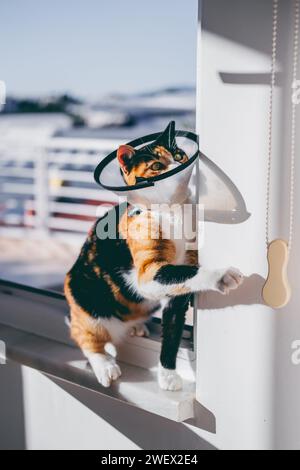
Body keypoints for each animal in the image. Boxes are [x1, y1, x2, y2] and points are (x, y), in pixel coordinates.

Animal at [65, 121, 244, 390]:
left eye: (178, 155)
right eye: (157, 166)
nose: (177, 167)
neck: (173, 211)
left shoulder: (176, 295)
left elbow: (171, 333)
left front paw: (168, 375)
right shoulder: (149, 273)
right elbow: (187, 272)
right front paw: (222, 275)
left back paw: (136, 327)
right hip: (85, 303)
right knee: (84, 337)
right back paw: (105, 367)